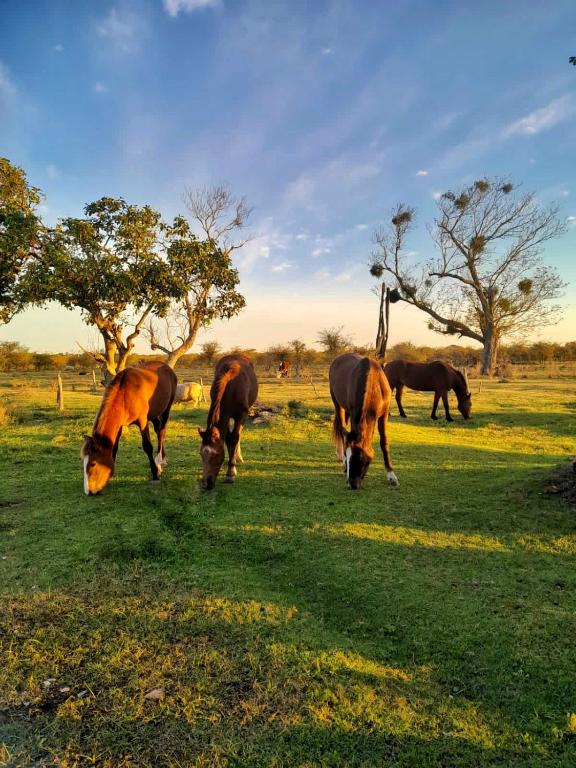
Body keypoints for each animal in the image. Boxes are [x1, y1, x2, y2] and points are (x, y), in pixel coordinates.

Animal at [80, 362, 176, 496]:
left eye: (93, 463)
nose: (89, 491)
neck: (125, 393)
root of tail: (166, 367)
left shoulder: (142, 422)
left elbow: (147, 446)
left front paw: (155, 473)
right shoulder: (120, 425)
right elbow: (114, 448)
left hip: (166, 409)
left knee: (161, 432)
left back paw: (159, 461)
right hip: (154, 414)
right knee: (158, 430)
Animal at [200, 356, 258, 492]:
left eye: (216, 455)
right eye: (201, 454)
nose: (207, 483)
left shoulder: (241, 415)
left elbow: (235, 438)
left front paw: (231, 472)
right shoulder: (225, 415)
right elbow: (227, 438)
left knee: (236, 436)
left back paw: (237, 457)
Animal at [328, 354, 396, 492]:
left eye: (360, 457)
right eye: (347, 455)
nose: (352, 484)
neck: (373, 385)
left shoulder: (384, 414)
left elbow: (384, 442)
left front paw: (391, 475)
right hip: (337, 403)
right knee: (341, 428)